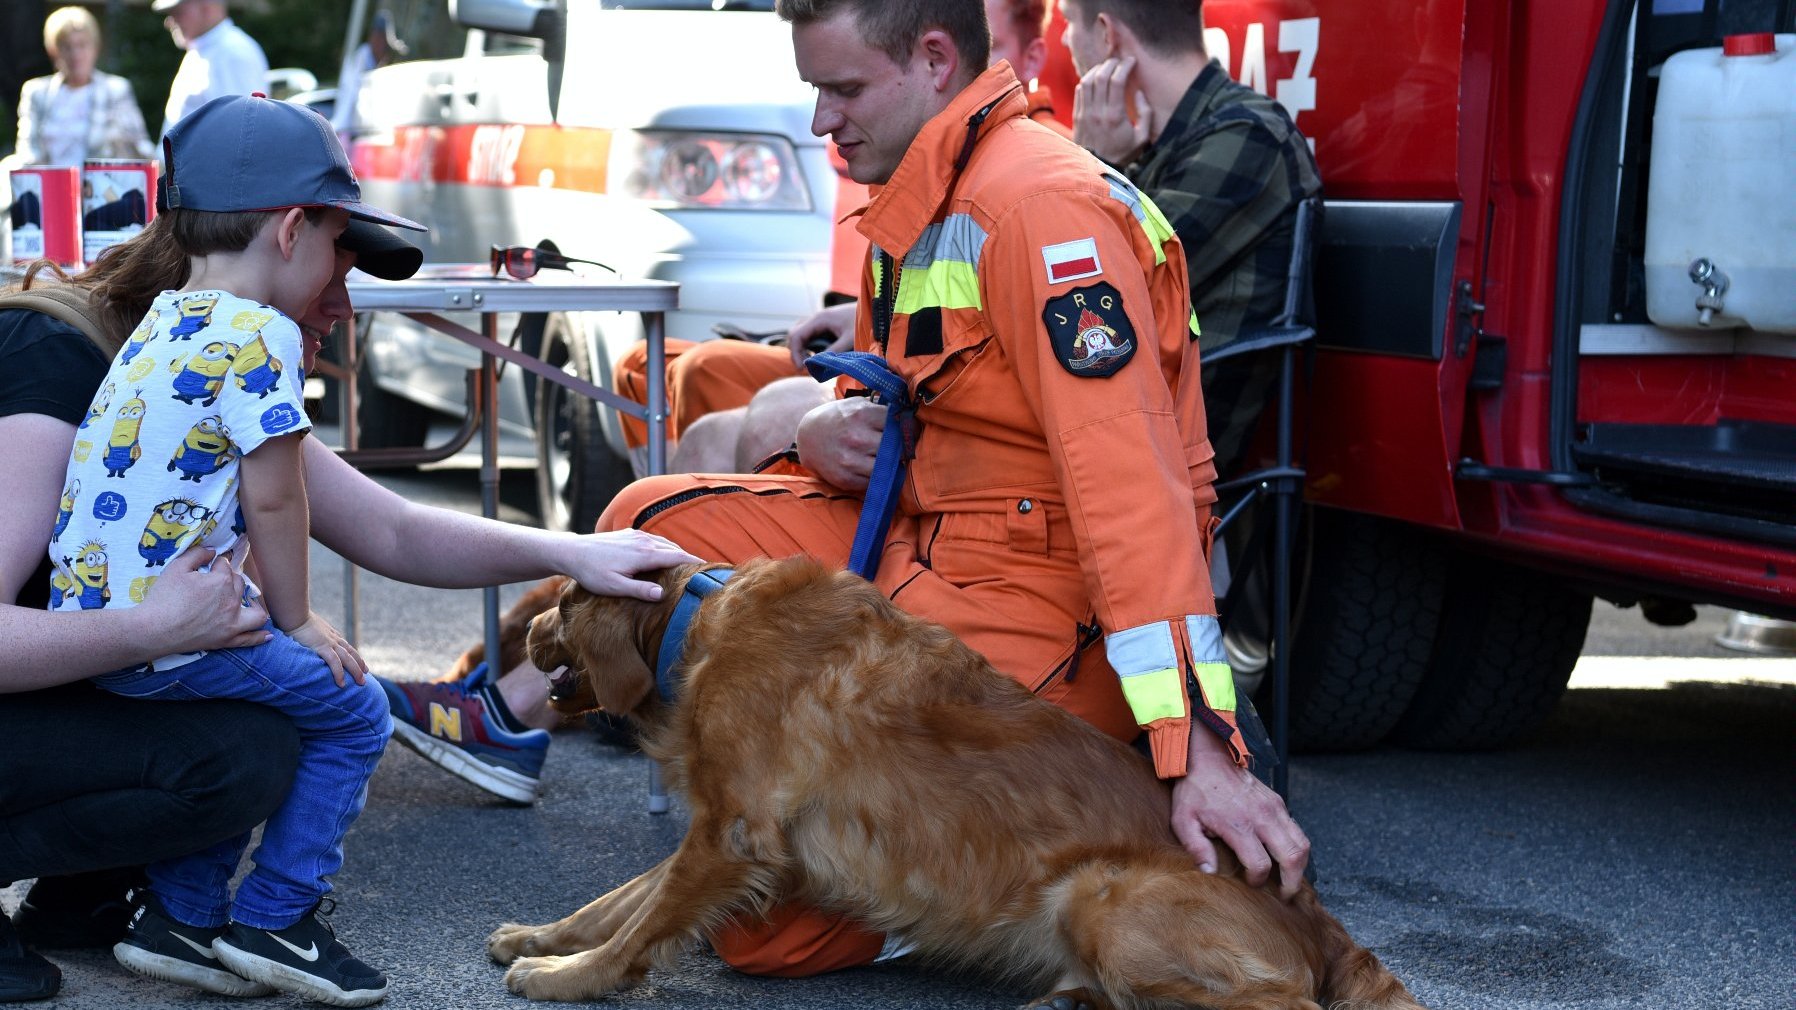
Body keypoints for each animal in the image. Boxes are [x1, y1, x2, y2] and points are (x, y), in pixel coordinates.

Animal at [484, 553, 1422, 999]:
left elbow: (641, 924)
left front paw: (570, 979)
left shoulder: (734, 834)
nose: (522, 637)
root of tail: (1316, 916)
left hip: (1103, 896)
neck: (694, 617)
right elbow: (621, 900)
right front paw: (543, 937)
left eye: (558, 605)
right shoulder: (722, 831)